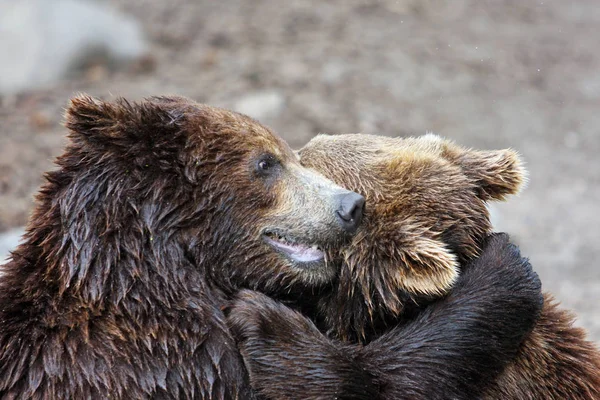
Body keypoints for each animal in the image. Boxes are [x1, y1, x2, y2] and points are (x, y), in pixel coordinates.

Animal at [0, 97, 540, 400]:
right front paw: (504, 271)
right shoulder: (176, 362)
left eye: (283, 152)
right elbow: (371, 381)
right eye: (266, 162)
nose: (350, 206)